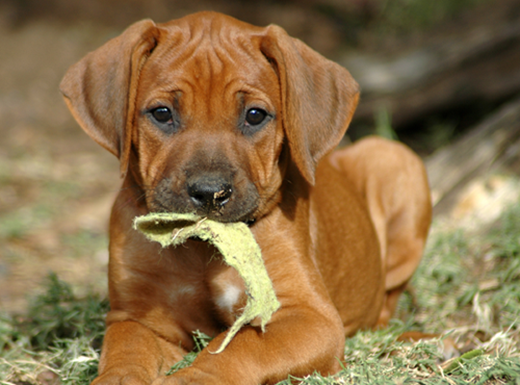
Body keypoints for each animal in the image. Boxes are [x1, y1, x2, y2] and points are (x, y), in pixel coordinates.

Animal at [60, 12, 430, 384]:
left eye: (255, 115)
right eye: (162, 113)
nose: (210, 192)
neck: (203, 248)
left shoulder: (308, 315)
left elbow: (236, 346)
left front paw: (194, 377)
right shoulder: (137, 316)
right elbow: (126, 352)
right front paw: (117, 377)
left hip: (396, 158)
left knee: (384, 310)